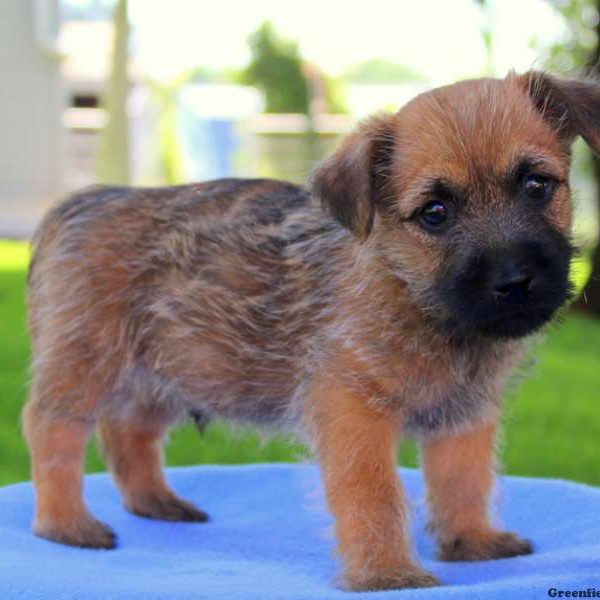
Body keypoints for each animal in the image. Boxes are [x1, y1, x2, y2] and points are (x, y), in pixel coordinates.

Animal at [25, 71, 588, 592]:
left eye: (537, 185)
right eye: (435, 213)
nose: (513, 280)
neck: (409, 292)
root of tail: (77, 206)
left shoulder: (463, 416)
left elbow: (464, 479)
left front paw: (472, 541)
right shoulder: (352, 411)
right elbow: (375, 494)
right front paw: (388, 574)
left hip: (167, 369)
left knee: (128, 431)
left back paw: (157, 503)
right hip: (85, 360)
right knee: (52, 430)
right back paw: (66, 524)